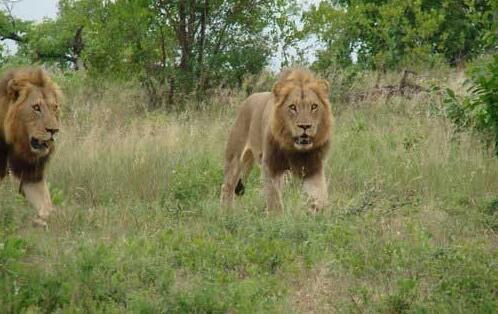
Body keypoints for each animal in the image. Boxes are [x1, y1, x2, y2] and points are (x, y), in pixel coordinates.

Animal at [0, 67, 61, 227]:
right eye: (36, 107)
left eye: (54, 108)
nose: (54, 130)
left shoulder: (31, 175)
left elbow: (49, 207)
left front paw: (40, 220)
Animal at [223, 68, 334, 213]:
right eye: (292, 107)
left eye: (314, 106)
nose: (305, 126)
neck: (293, 148)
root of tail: (248, 99)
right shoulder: (270, 166)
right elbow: (274, 199)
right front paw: (278, 217)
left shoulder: (313, 168)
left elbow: (319, 196)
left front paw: (319, 214)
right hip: (235, 157)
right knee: (228, 186)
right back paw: (226, 213)